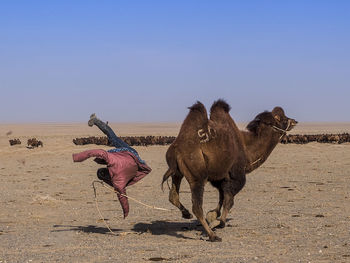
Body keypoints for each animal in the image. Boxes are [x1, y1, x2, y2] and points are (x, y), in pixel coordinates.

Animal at [163, 100, 296, 242]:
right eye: (283, 119)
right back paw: (212, 235)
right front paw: (218, 222)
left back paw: (186, 214)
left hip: (178, 172)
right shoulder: (236, 176)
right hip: (196, 176)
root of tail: (176, 149)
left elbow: (222, 197)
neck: (246, 149)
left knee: (173, 195)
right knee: (197, 207)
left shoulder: (220, 177)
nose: (294, 121)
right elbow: (229, 200)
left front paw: (213, 215)